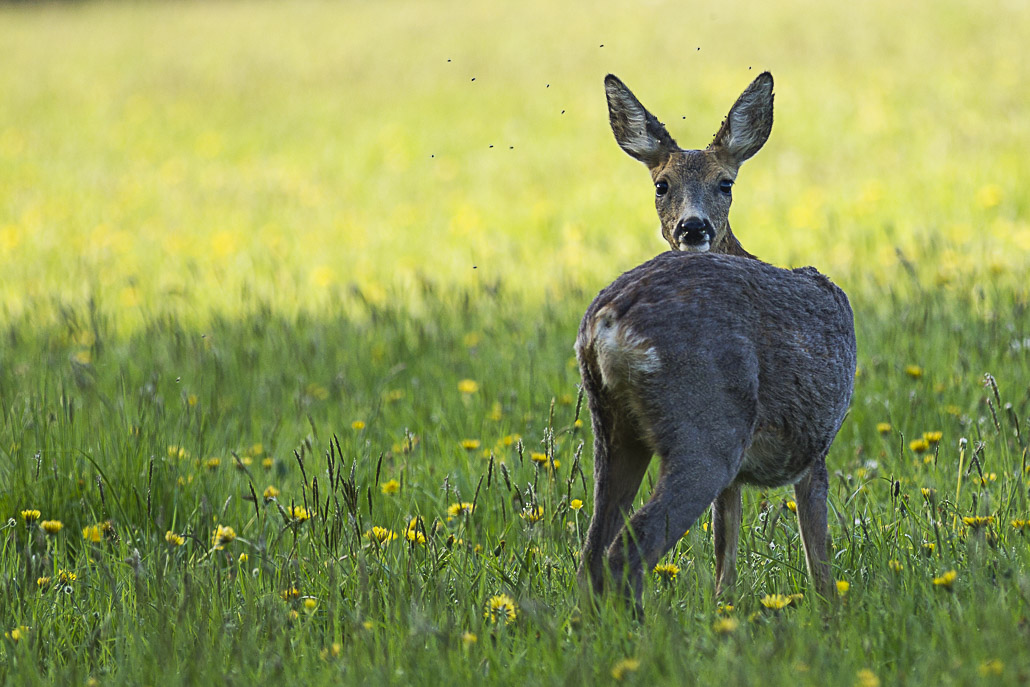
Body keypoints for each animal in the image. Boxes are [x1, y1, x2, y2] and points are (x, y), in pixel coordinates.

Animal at [576, 72, 856, 613]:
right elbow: (818, 554)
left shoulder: (738, 479)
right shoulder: (815, 445)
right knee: (627, 548)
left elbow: (725, 551)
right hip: (707, 424)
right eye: (661, 184)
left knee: (592, 549)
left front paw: (724, 612)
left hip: (612, 427)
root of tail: (607, 324)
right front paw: (832, 615)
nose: (693, 227)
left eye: (725, 183)